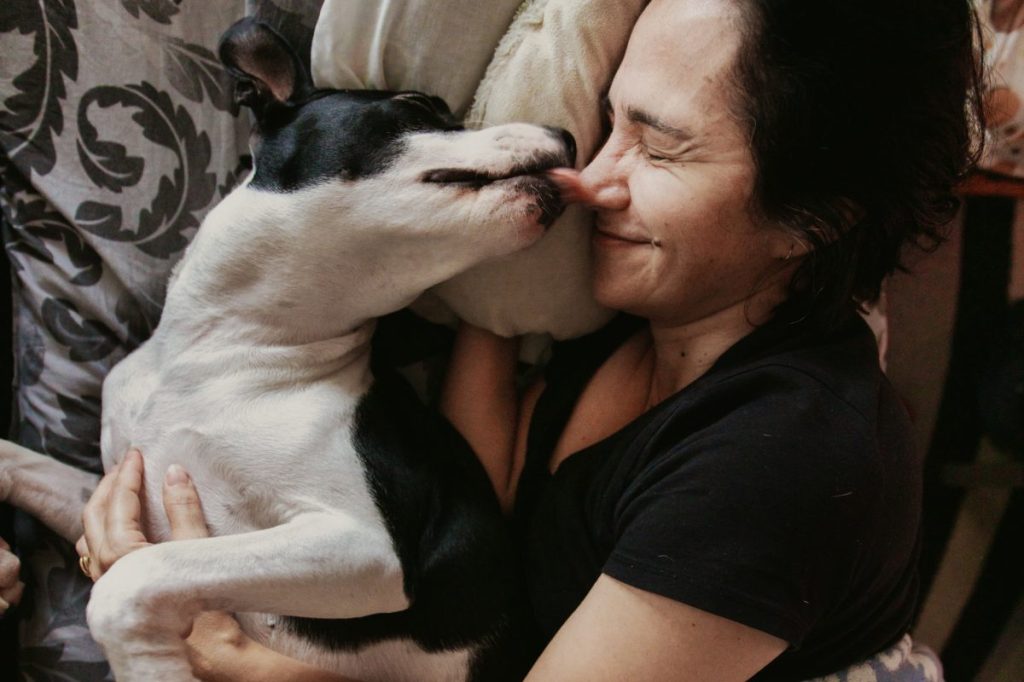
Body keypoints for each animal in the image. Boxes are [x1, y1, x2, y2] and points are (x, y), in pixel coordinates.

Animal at [0, 17, 573, 679]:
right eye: (418, 107)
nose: (568, 134)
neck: (217, 351)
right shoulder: (116, 497)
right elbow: (22, 463)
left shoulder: (360, 546)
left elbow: (130, 581)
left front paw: (151, 664)